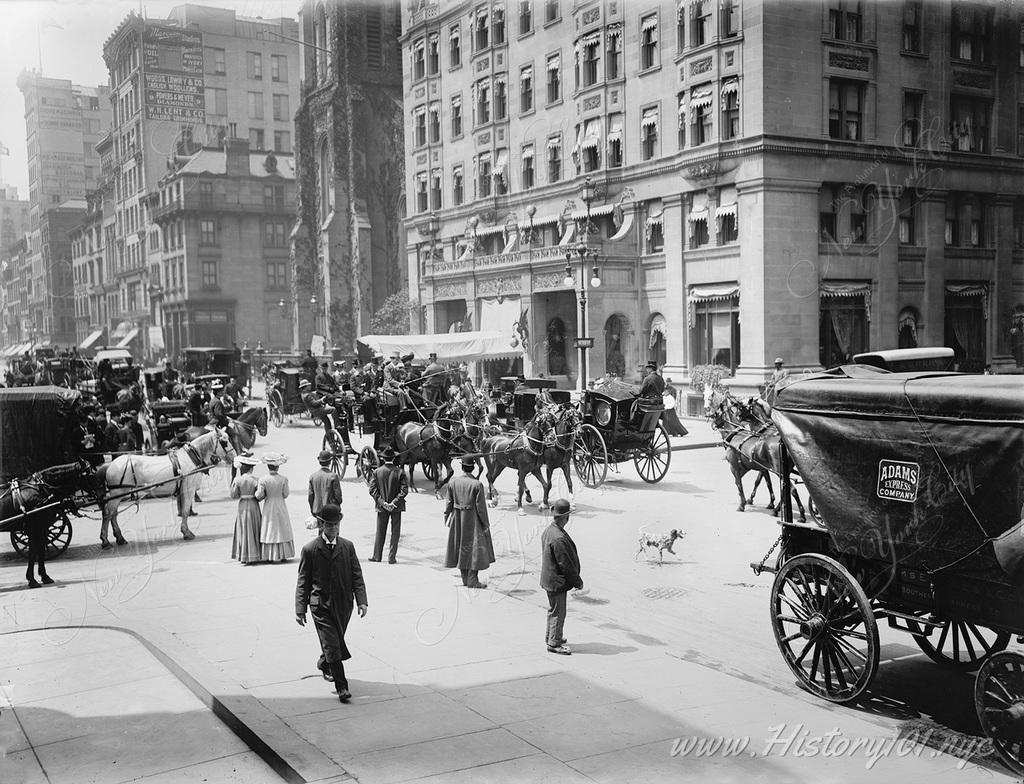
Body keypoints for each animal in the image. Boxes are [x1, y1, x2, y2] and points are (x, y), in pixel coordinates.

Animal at [96, 429, 235, 548]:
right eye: (224, 442)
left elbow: (182, 510)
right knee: (108, 514)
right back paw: (106, 540)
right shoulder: (188, 489)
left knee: (113, 514)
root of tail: (110, 465)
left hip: (118, 495)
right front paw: (187, 532)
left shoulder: (181, 491)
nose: (234, 457)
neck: (191, 457)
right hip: (117, 493)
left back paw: (119, 538)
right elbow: (185, 511)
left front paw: (185, 530)